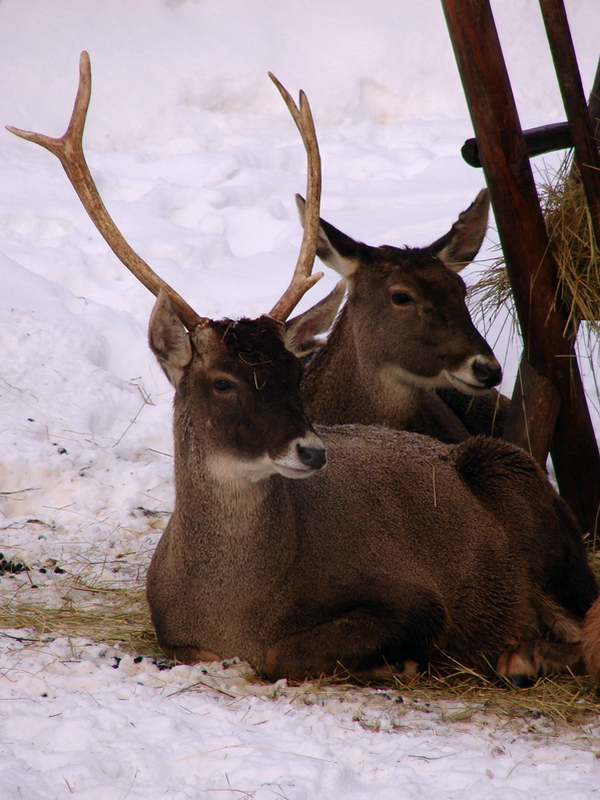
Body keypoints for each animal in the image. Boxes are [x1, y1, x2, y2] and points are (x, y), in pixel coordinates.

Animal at [8, 53, 597, 685]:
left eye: (295, 373)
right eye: (222, 382)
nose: (312, 451)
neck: (238, 613)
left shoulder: (413, 594)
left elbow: (284, 653)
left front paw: (404, 661)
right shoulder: (173, 633)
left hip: (517, 484)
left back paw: (521, 655)